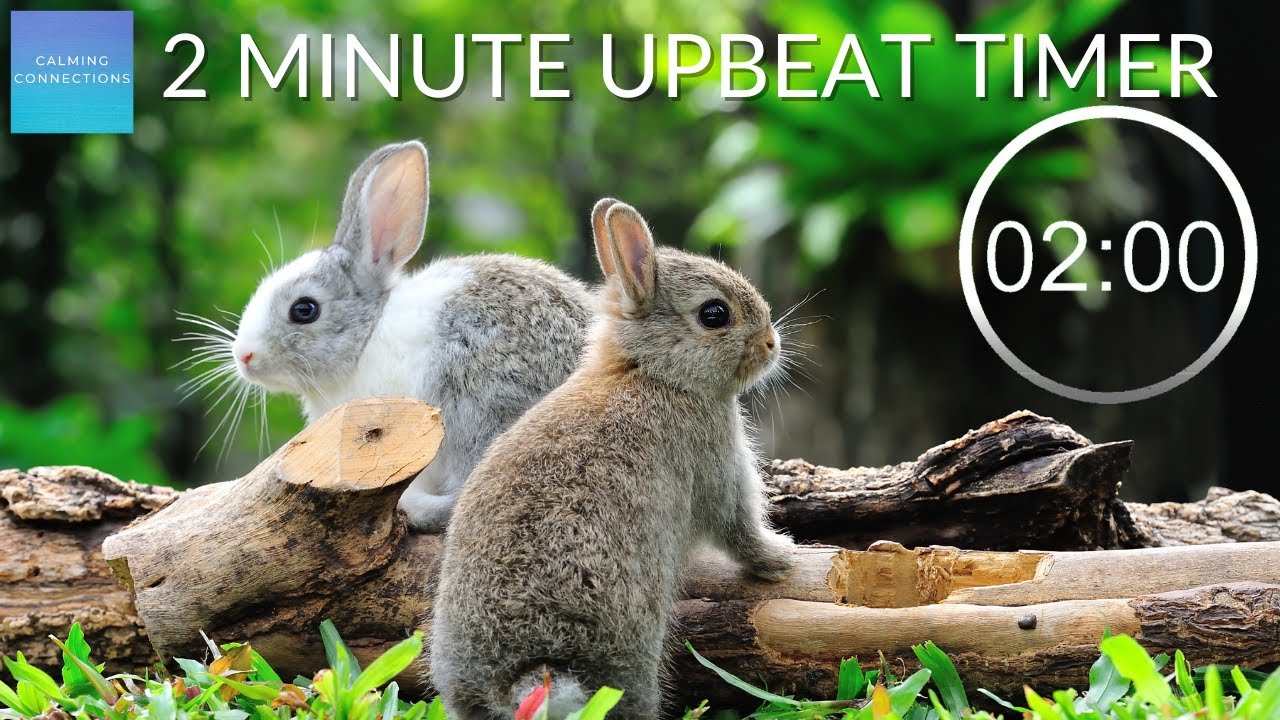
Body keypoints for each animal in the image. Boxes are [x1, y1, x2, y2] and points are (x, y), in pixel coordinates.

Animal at [428, 198, 798, 720]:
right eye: (714, 314)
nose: (771, 344)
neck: (651, 372)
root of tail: (525, 676)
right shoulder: (716, 465)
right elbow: (738, 528)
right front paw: (781, 559)